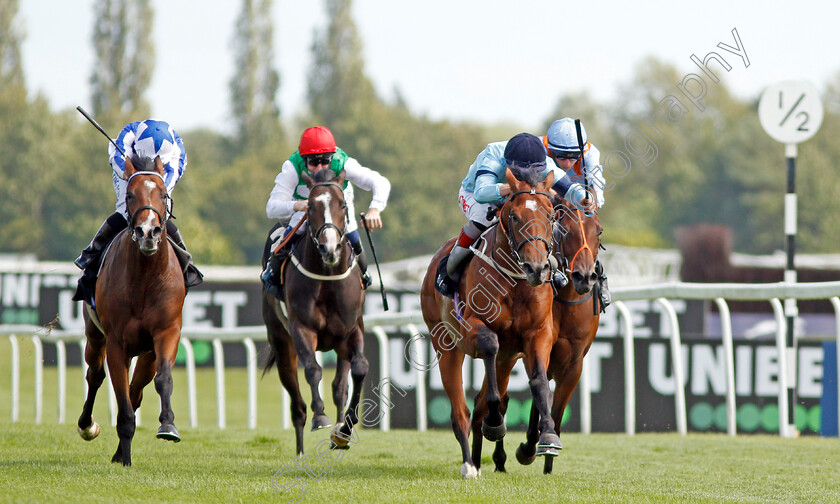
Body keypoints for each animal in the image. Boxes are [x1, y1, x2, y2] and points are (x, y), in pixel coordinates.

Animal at [76, 156, 185, 466]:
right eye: (129, 195)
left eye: (163, 194)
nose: (148, 232)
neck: (145, 279)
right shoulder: (116, 343)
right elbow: (121, 400)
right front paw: (125, 458)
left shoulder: (165, 334)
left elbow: (162, 379)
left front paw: (168, 425)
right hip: (94, 335)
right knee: (95, 375)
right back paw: (87, 426)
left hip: (146, 352)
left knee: (137, 390)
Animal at [262, 168, 368, 456]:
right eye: (310, 206)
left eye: (342, 204)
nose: (329, 249)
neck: (327, 277)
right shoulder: (302, 328)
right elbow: (312, 369)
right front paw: (320, 416)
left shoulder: (350, 331)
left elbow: (360, 368)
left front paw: (344, 430)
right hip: (281, 341)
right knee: (296, 401)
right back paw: (300, 449)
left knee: (340, 386)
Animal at [418, 168, 560, 476]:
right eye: (515, 217)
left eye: (550, 216)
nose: (536, 268)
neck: (516, 282)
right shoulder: (474, 327)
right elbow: (489, 346)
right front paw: (494, 425)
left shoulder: (539, 333)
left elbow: (540, 381)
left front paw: (548, 436)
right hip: (446, 347)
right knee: (461, 411)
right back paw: (469, 464)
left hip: (508, 359)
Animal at [496, 200, 600, 472]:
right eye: (565, 230)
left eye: (599, 231)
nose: (584, 276)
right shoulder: (532, 350)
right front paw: (527, 449)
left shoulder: (574, 364)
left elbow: (556, 409)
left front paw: (548, 456)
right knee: (501, 396)